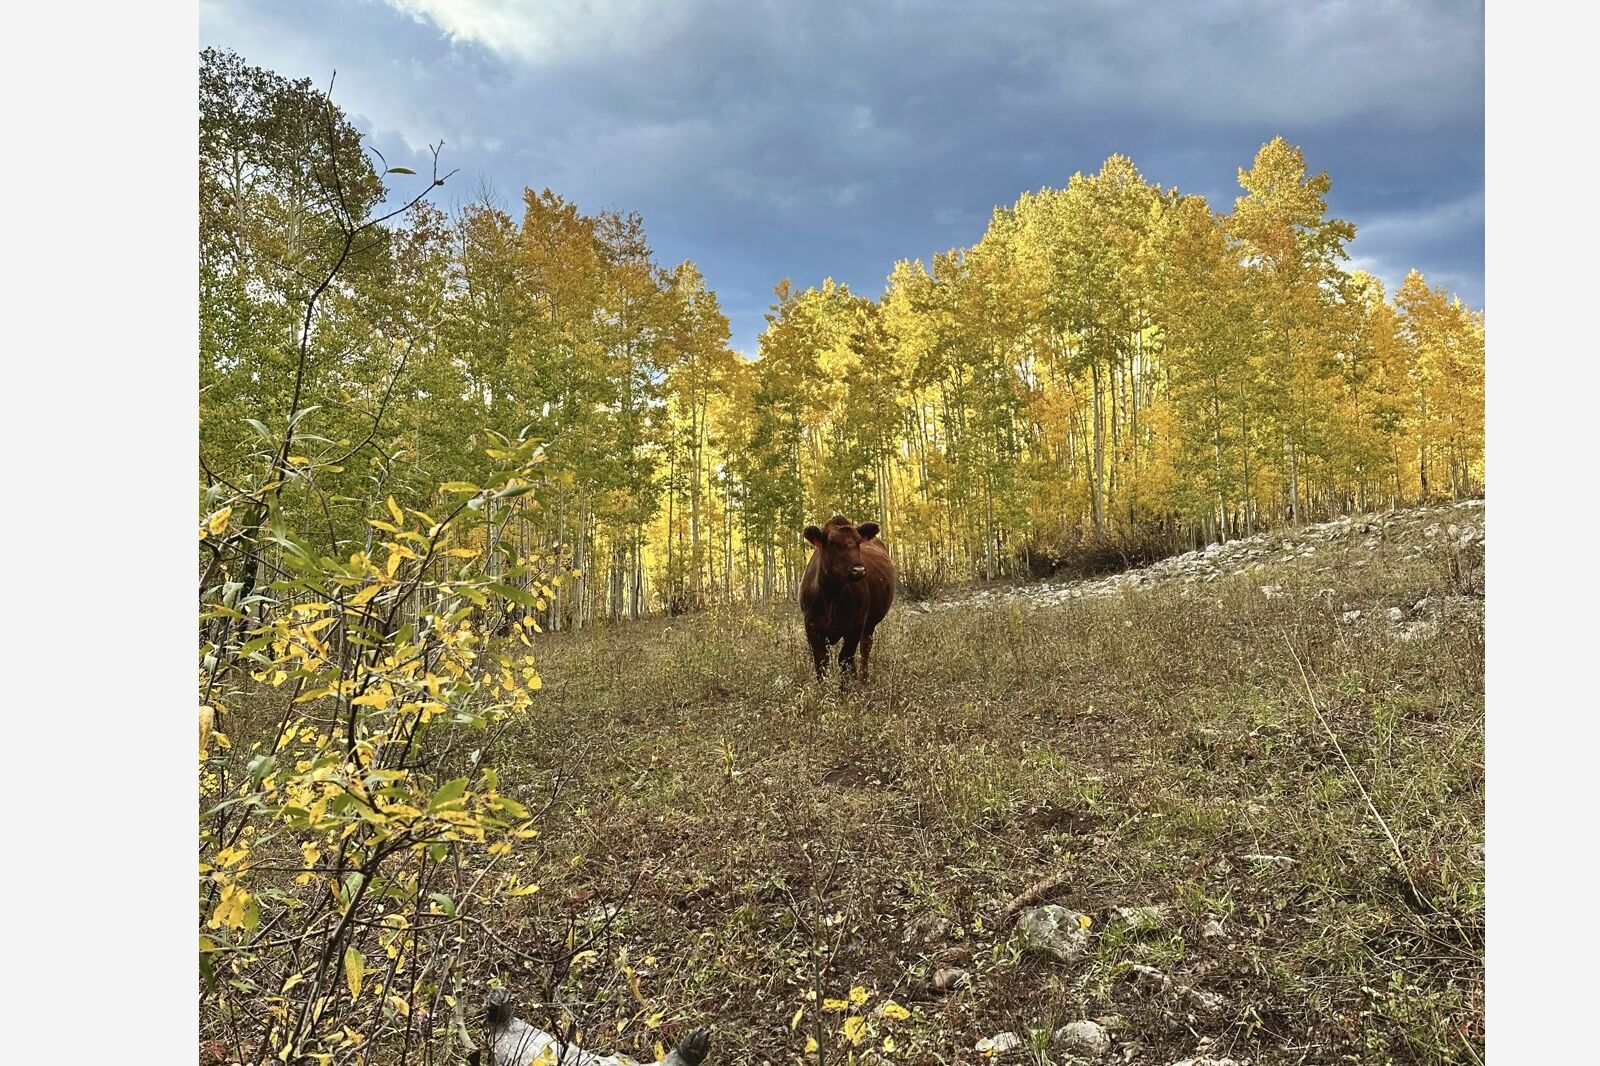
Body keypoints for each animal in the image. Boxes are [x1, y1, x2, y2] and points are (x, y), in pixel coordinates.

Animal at [800, 512, 902, 681]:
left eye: (858, 542)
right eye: (832, 542)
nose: (858, 570)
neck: (832, 597)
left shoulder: (856, 624)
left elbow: (845, 658)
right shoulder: (811, 626)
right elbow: (821, 662)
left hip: (869, 624)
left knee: (864, 648)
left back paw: (863, 679)